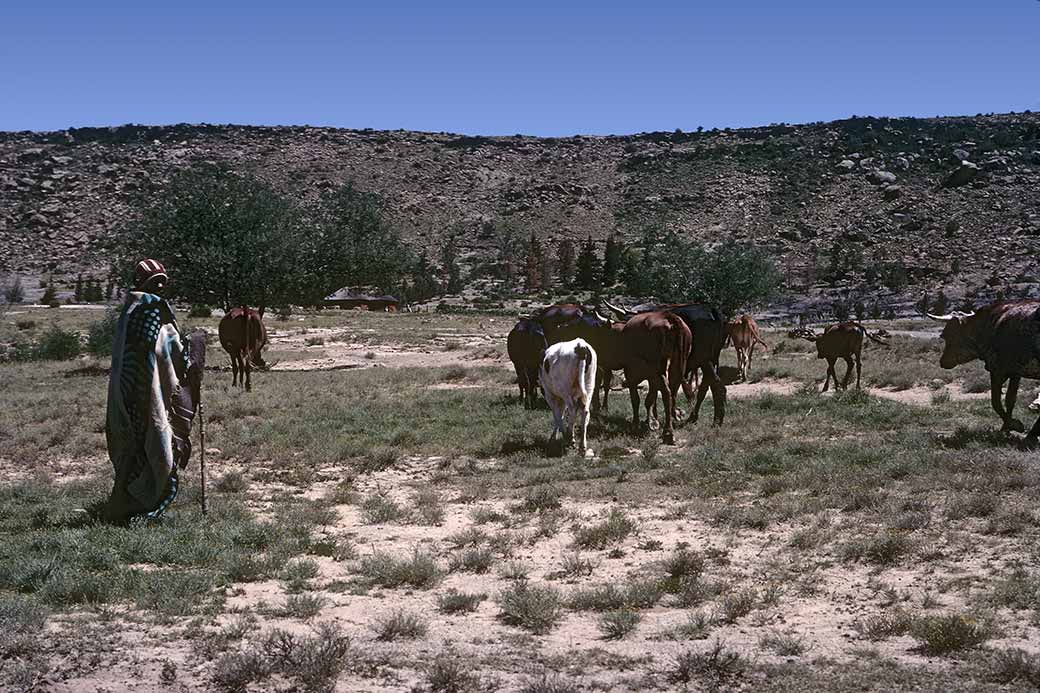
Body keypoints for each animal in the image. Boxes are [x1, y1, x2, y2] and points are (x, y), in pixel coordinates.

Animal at [931, 297, 1040, 443]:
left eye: (948, 334)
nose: (943, 362)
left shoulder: (997, 369)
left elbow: (996, 401)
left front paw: (1014, 424)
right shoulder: (1015, 372)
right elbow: (1010, 399)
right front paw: (1006, 427)